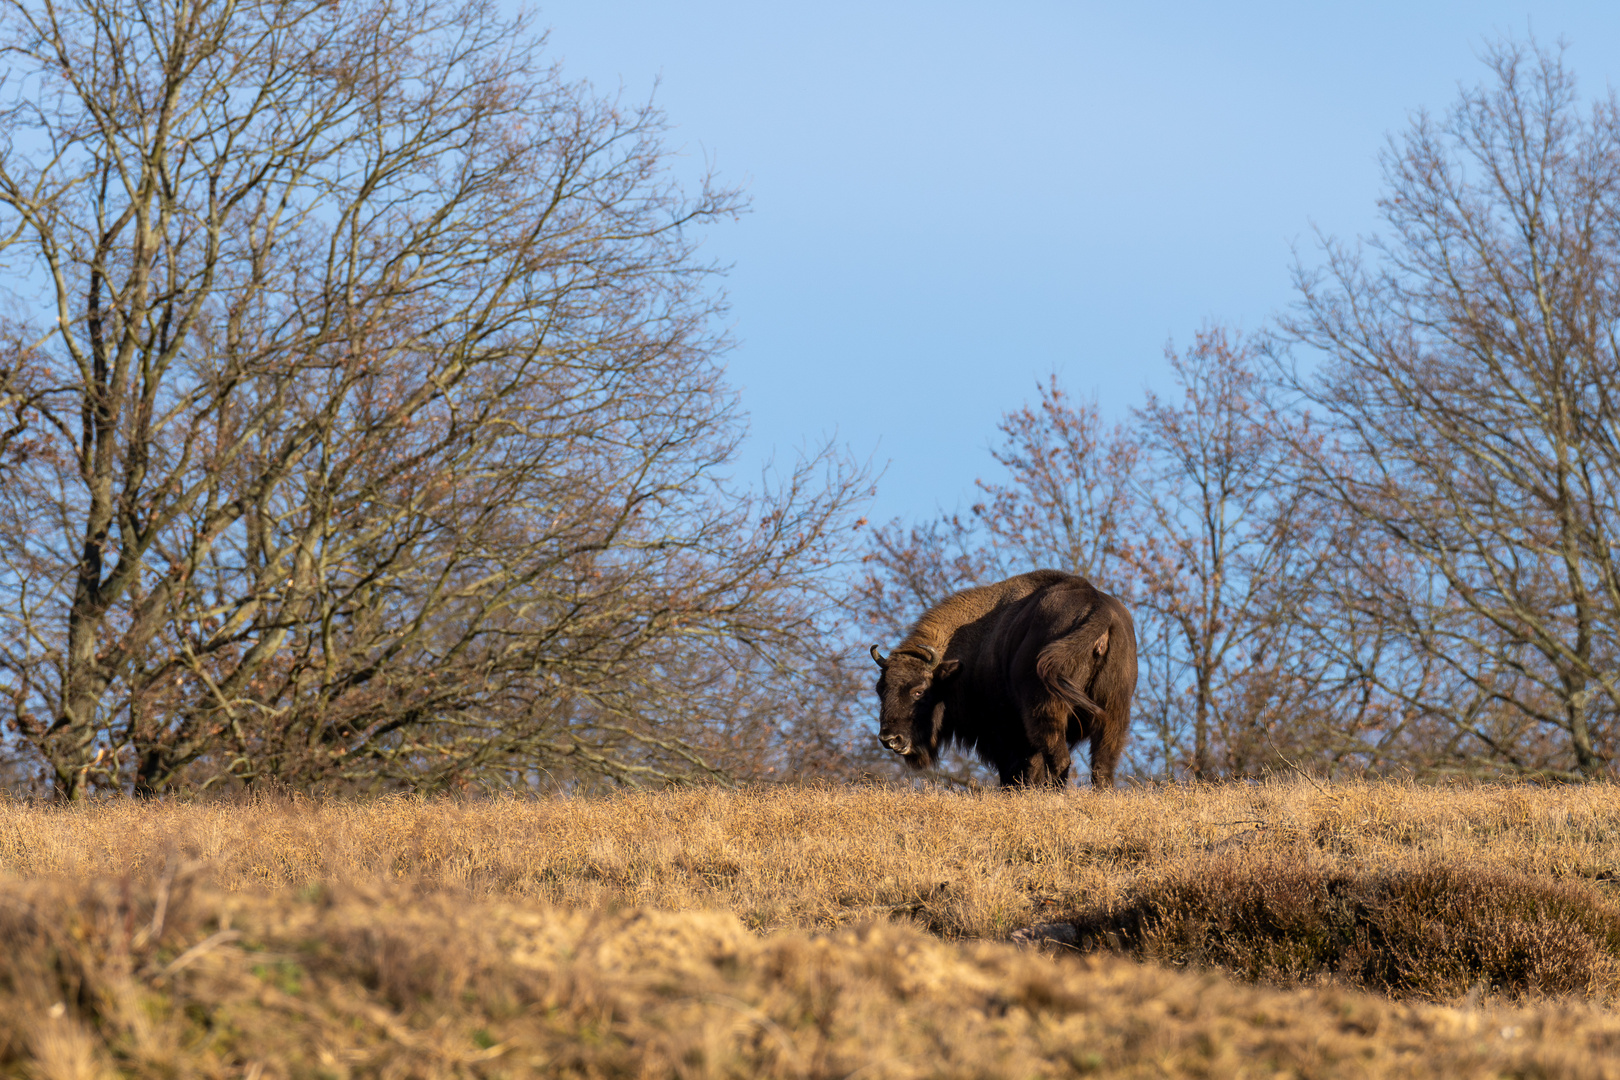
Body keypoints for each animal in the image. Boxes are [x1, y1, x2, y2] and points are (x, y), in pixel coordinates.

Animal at [874, 569, 1140, 790]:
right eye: (880, 690)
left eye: (919, 691)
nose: (890, 739)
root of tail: (1097, 607)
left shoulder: (1005, 736)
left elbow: (1018, 771)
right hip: (1114, 714)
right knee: (1102, 765)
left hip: (1047, 712)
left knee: (1061, 761)